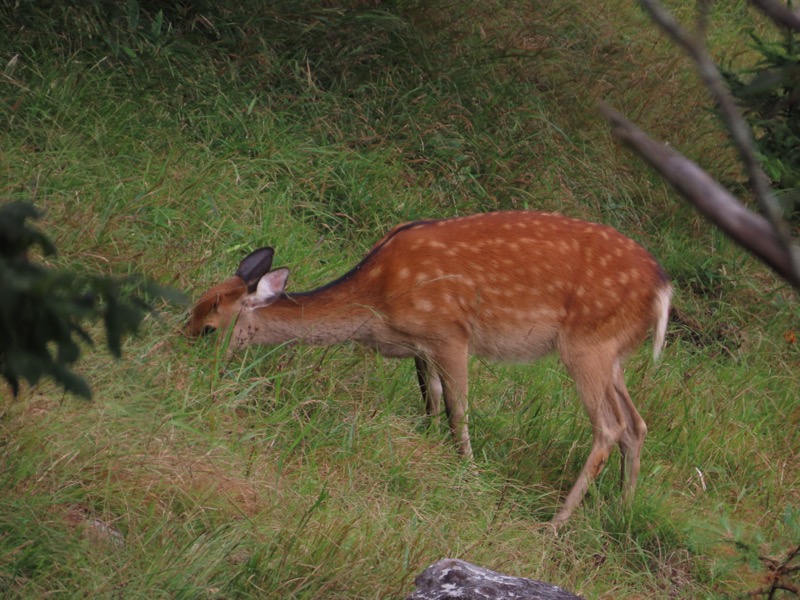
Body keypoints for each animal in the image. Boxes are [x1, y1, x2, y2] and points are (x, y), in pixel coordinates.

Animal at [189, 211, 676, 524]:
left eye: (209, 329)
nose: (186, 360)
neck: (378, 305)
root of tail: (663, 290)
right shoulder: (421, 347)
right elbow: (432, 401)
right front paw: (426, 450)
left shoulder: (450, 332)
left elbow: (458, 413)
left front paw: (470, 477)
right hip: (614, 353)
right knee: (637, 423)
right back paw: (622, 511)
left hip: (587, 343)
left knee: (609, 427)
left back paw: (556, 522)